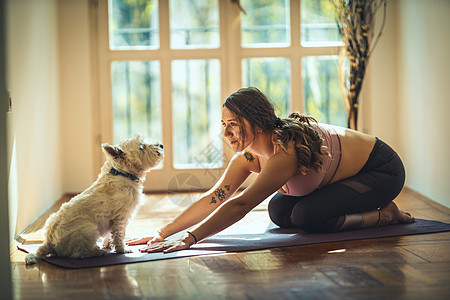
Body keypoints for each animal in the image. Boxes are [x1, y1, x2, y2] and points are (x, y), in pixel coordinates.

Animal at [25, 135, 163, 264]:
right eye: (141, 146)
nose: (161, 145)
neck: (122, 173)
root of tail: (49, 241)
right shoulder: (121, 216)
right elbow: (119, 234)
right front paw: (122, 249)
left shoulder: (112, 220)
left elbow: (110, 234)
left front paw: (108, 244)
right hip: (87, 228)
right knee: (77, 253)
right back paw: (96, 252)